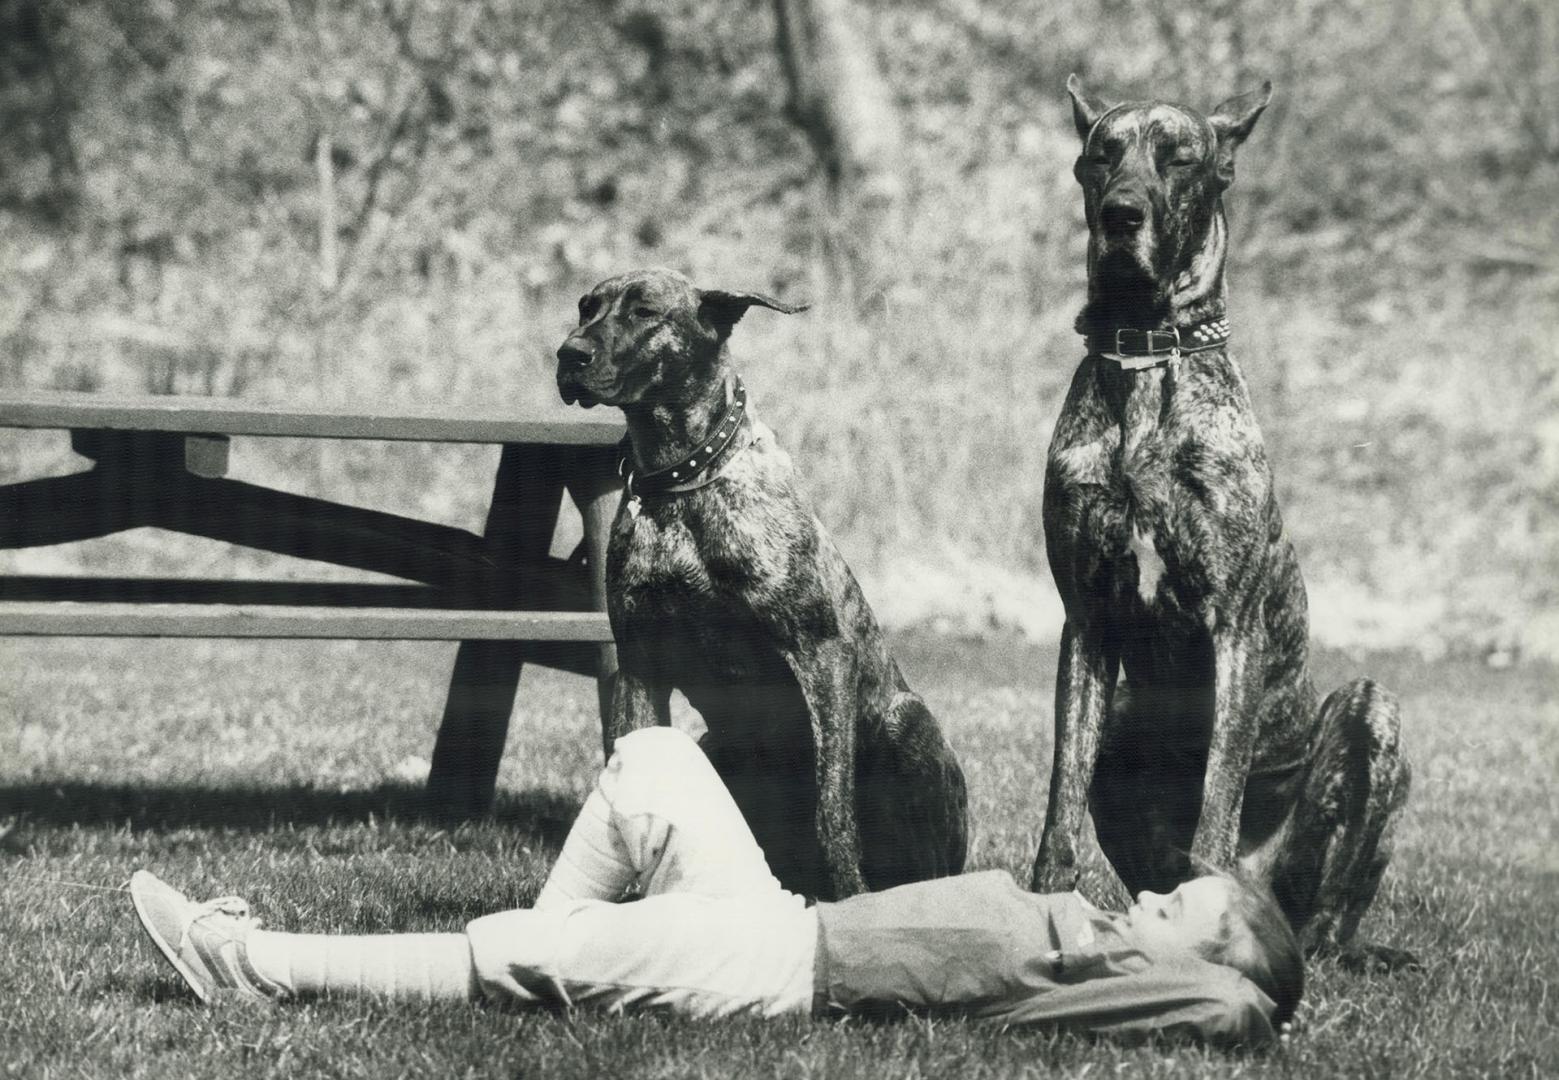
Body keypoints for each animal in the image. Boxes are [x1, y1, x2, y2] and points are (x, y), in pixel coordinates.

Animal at [555, 264, 954, 897]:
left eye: (645, 311)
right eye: (585, 306)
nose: (569, 353)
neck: (680, 480)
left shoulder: (822, 656)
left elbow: (831, 810)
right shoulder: (641, 665)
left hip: (903, 721)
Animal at [1028, 82, 1421, 960]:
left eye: (1179, 159)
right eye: (1100, 154)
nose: (1121, 214)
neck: (1144, 357)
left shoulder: (1234, 626)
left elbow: (1217, 793)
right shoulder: (1086, 623)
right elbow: (1060, 800)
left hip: (1372, 709)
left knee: (1328, 915)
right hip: (1121, 720)